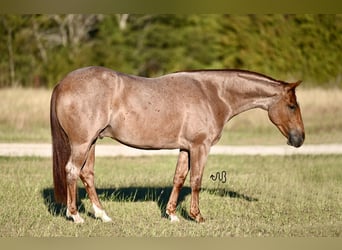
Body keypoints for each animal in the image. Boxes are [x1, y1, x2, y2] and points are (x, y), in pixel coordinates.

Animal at [50, 66, 304, 223]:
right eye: (291, 106)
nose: (299, 139)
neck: (213, 94)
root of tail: (63, 83)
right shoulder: (200, 147)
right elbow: (196, 181)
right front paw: (197, 216)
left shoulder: (186, 148)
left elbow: (179, 178)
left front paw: (172, 214)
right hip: (82, 143)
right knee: (72, 171)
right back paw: (75, 216)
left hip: (92, 142)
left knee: (87, 174)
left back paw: (102, 215)